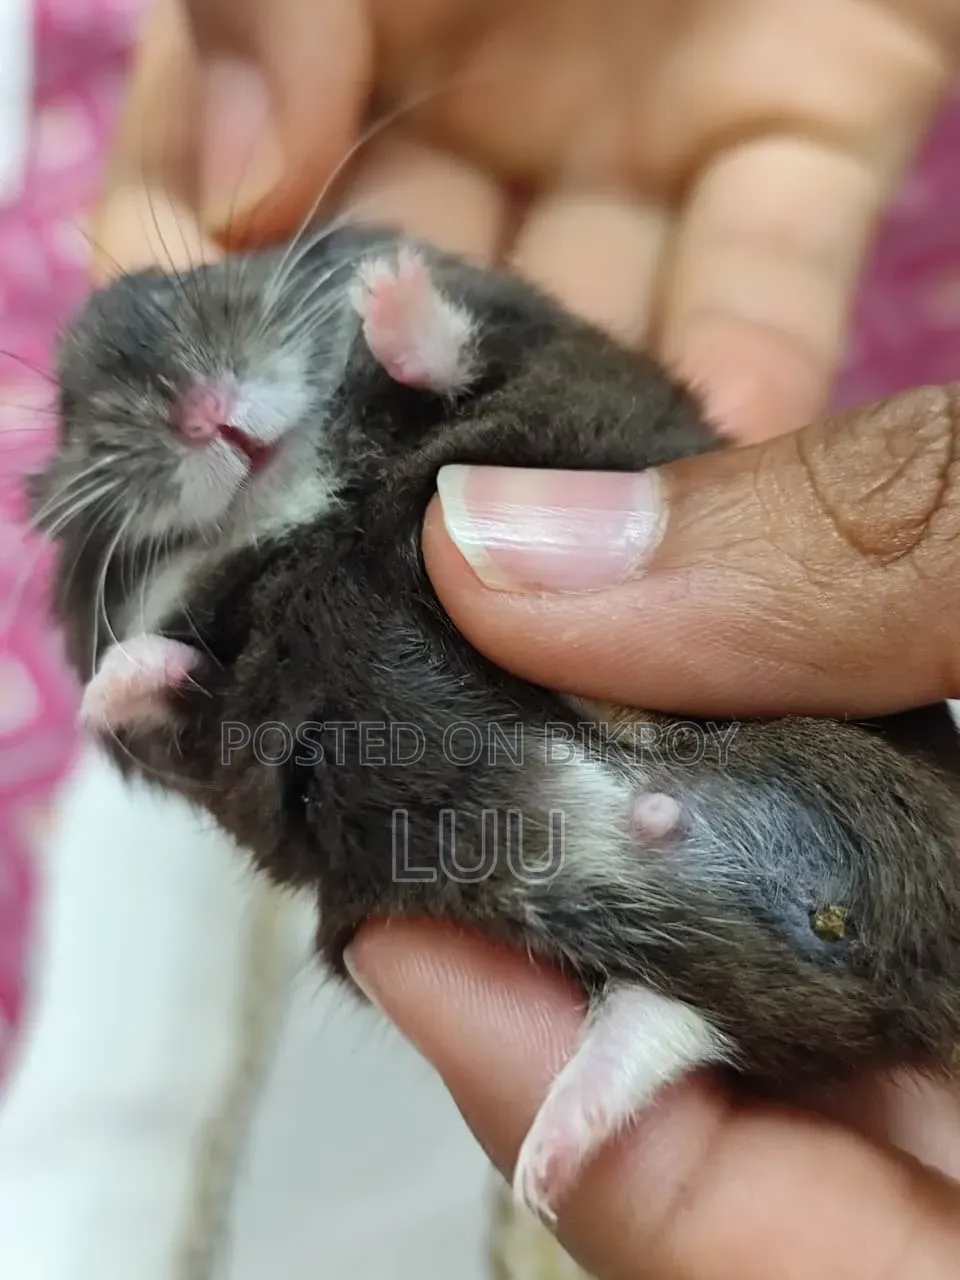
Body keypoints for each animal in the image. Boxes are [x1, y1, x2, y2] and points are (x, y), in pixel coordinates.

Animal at [28, 222, 960, 1225]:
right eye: (73, 413)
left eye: (188, 280)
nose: (199, 413)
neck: (297, 500)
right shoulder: (232, 740)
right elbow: (187, 688)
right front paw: (110, 686)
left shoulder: (548, 358)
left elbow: (457, 361)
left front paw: (387, 291)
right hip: (715, 974)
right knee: (666, 1024)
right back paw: (547, 1160)